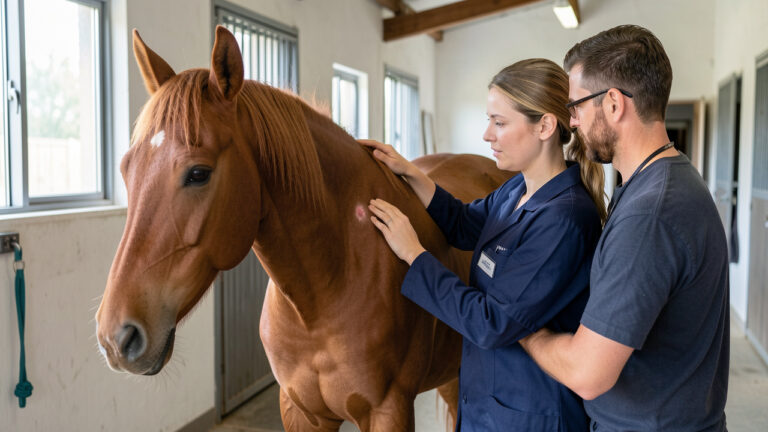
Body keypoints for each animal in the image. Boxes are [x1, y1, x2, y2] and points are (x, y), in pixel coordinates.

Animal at [95, 26, 513, 431]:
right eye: (126, 169)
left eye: (199, 173)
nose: (116, 337)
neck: (325, 291)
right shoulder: (300, 410)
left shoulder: (389, 410)